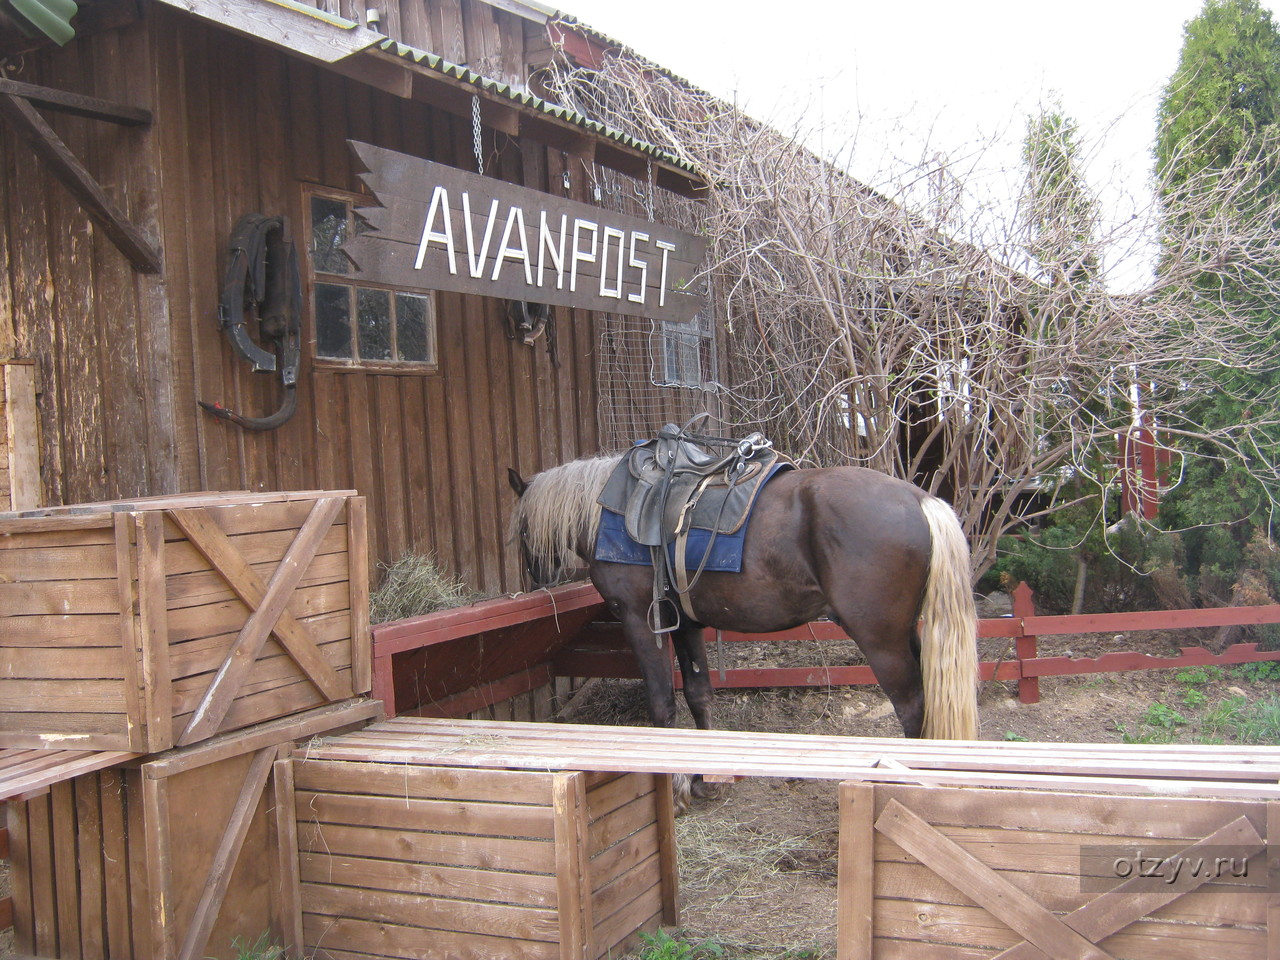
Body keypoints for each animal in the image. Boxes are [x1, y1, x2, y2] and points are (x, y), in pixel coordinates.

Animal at [504, 458, 972, 752]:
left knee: (911, 708)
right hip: (906, 634)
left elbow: (663, 706)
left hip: (880, 641)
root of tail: (921, 500)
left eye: (522, 529)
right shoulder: (685, 625)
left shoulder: (641, 621)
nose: (536, 576)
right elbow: (699, 695)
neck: (611, 510)